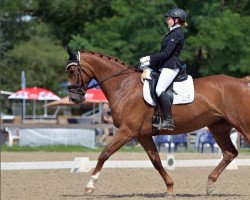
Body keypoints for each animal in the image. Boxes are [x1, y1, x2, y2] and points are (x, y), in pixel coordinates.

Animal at [65, 47, 250, 196]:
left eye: (73, 70)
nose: (74, 98)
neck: (123, 86)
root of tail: (242, 82)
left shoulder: (127, 131)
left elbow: (104, 154)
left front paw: (90, 185)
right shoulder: (143, 135)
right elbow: (156, 161)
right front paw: (169, 188)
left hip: (242, 125)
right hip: (218, 127)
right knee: (230, 153)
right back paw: (210, 185)